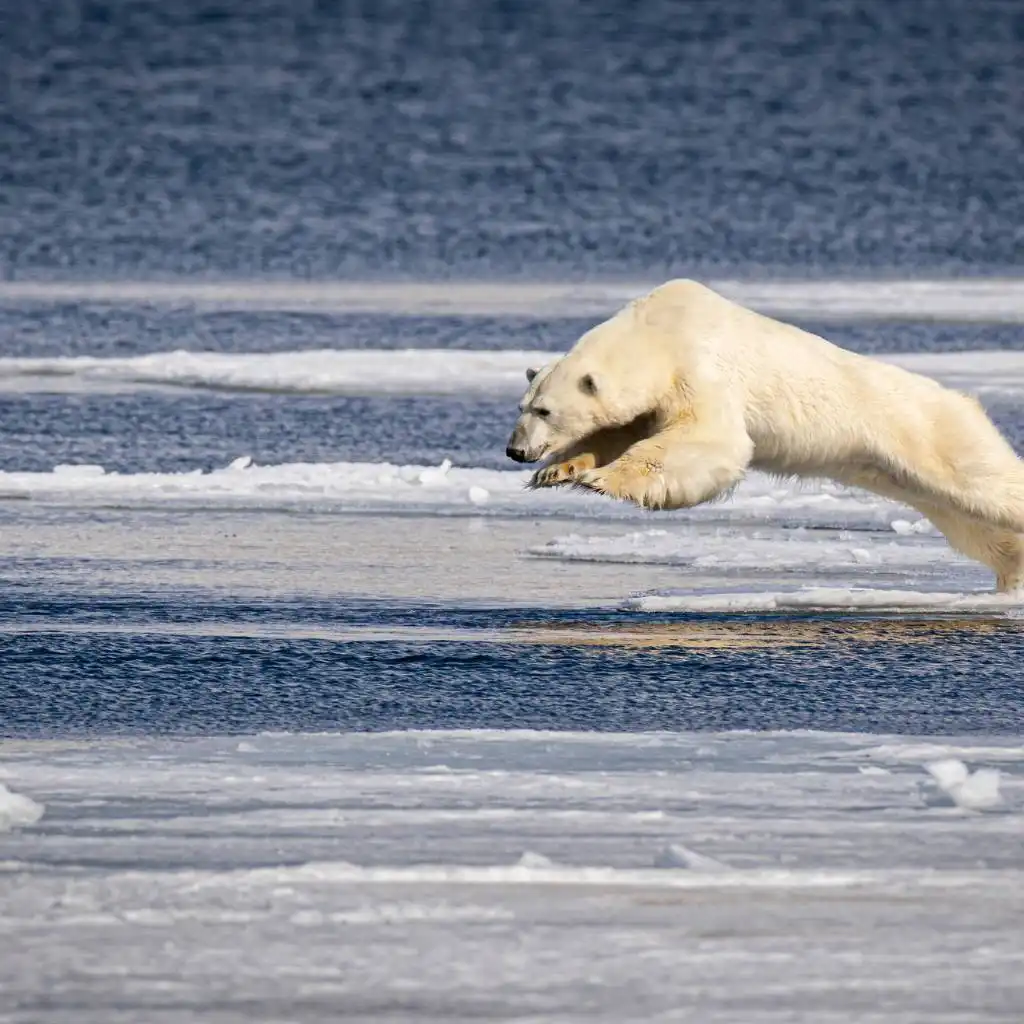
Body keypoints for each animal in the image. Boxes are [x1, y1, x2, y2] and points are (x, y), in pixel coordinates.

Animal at [507, 278, 1024, 593]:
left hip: (929, 430)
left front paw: (605, 480)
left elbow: (709, 440)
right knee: (966, 522)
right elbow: (617, 431)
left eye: (544, 409)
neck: (656, 335)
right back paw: (1012, 571)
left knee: (984, 481)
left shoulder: (699, 368)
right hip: (901, 474)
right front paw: (559, 471)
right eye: (522, 406)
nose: (515, 450)